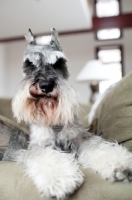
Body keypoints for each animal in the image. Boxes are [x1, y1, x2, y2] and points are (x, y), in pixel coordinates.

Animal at [7, 28, 132, 199]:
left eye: (59, 62)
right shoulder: (40, 146)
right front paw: (60, 179)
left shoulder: (80, 138)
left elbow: (98, 147)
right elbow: (46, 156)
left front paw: (120, 164)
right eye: (30, 64)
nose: (46, 85)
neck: (53, 122)